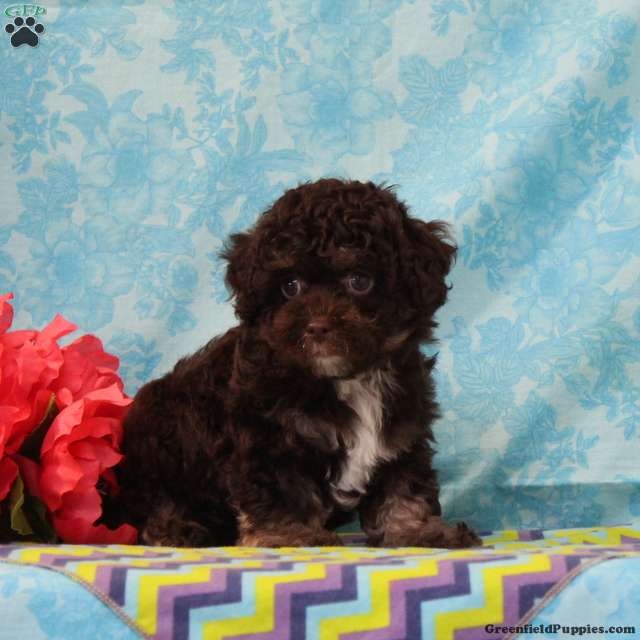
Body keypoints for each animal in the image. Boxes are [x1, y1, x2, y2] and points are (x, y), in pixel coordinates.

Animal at [114, 178, 480, 548]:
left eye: (360, 281)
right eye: (290, 286)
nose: (317, 327)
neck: (345, 379)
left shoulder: (401, 433)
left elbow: (403, 486)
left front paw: (414, 530)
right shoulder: (270, 437)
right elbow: (281, 490)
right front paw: (288, 534)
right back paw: (176, 527)